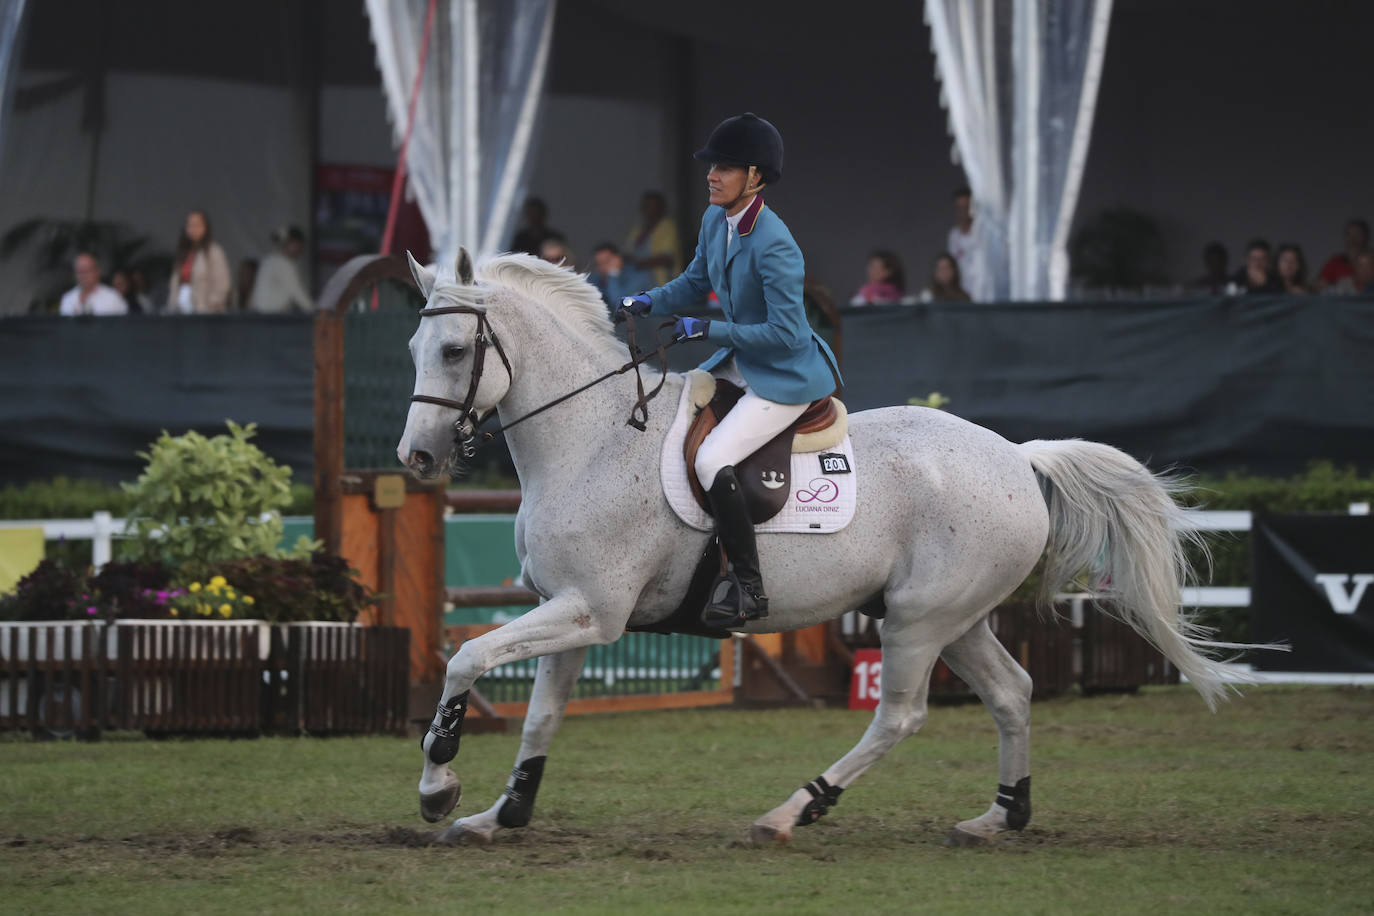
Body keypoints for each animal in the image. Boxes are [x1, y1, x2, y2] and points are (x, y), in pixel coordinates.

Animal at [395, 248, 1247, 845]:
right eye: (412, 347)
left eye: (453, 352)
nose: (417, 459)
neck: (592, 436)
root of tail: (1015, 454)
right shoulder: (570, 611)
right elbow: (539, 718)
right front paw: (500, 815)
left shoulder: (590, 612)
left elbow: (464, 657)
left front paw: (438, 788)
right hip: (956, 618)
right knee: (1012, 693)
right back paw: (999, 817)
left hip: (916, 622)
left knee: (899, 716)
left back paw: (792, 811)